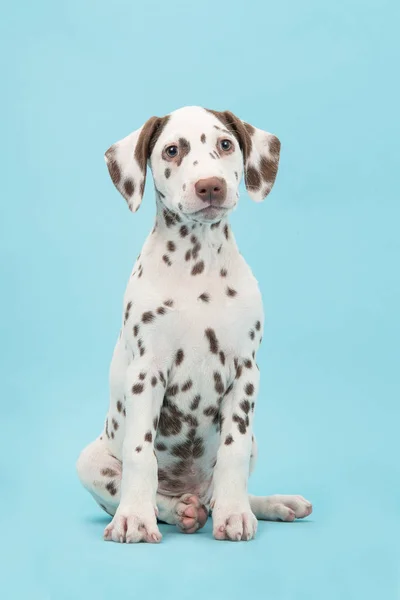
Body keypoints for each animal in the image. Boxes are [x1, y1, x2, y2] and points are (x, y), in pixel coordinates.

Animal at [76, 105, 312, 540]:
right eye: (172, 150)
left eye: (226, 144)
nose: (210, 186)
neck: (196, 262)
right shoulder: (146, 372)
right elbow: (140, 454)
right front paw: (134, 518)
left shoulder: (246, 372)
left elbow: (233, 452)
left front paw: (235, 515)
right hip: (89, 461)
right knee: (161, 498)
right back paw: (179, 510)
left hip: (255, 443)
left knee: (223, 488)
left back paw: (266, 504)